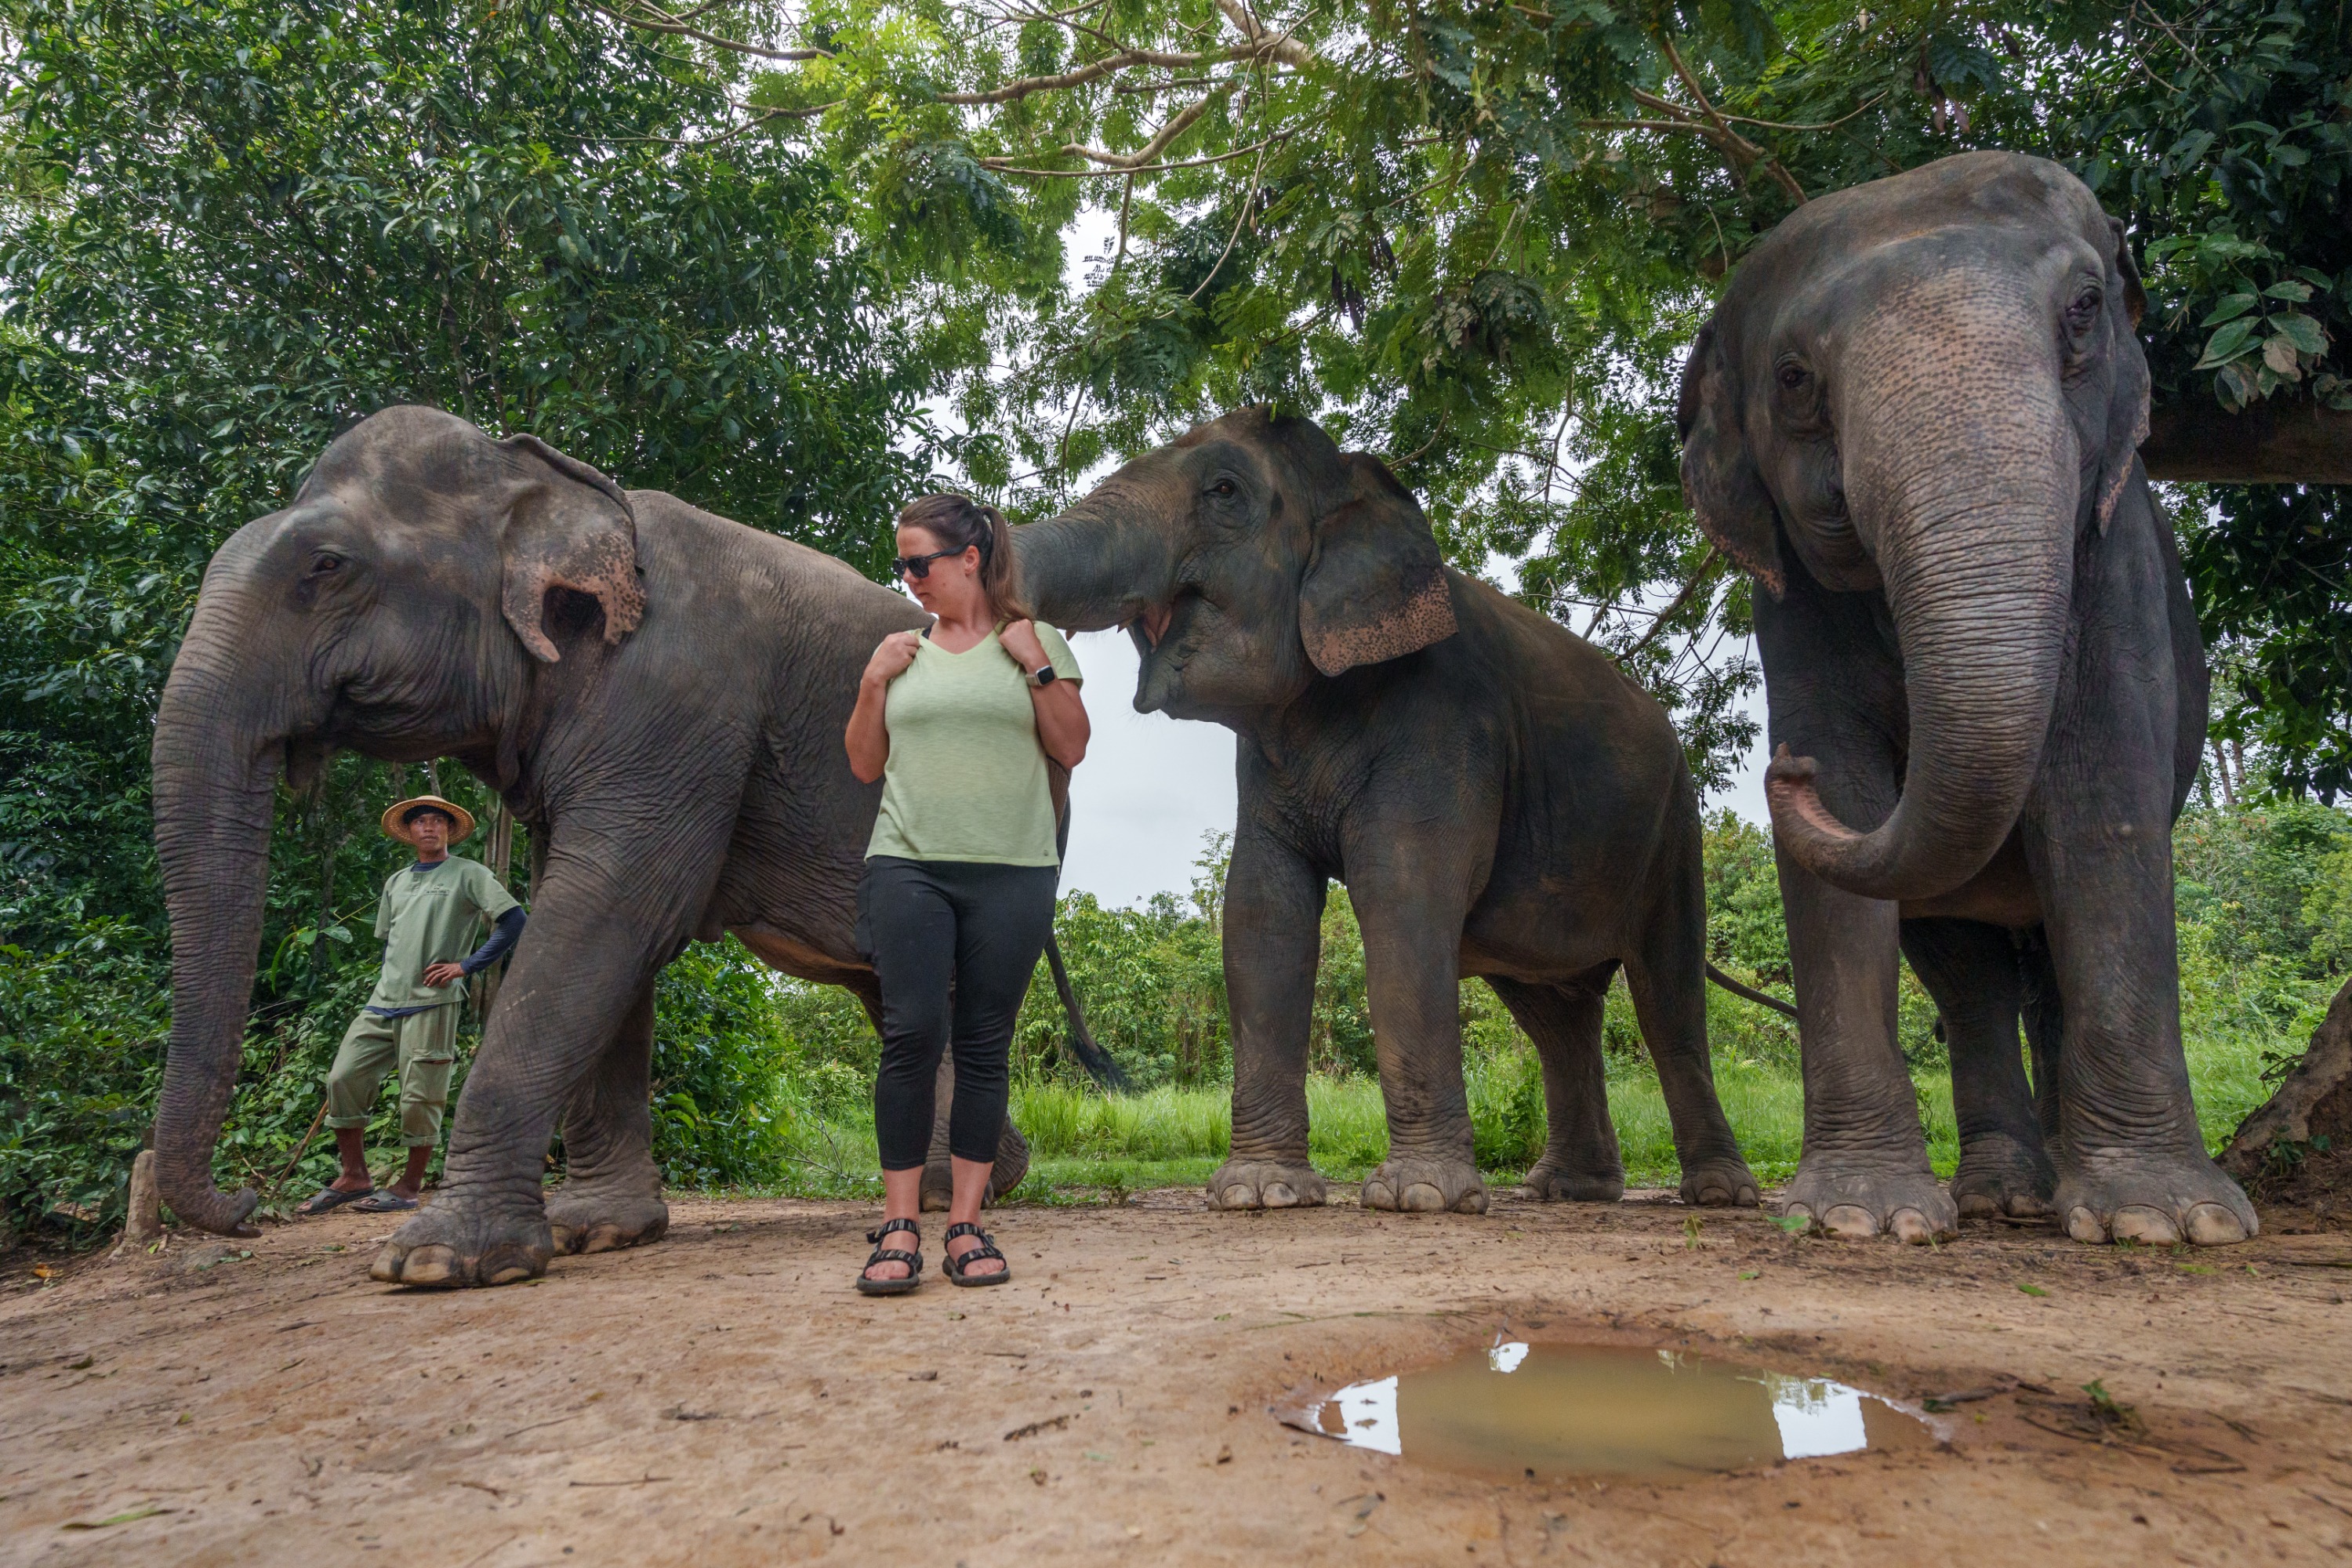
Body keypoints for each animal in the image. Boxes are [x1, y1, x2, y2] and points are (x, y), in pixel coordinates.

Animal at [151, 404, 1087, 1288]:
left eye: (327, 567)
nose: (249, 1208)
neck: (544, 482)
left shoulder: (678, 695)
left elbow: (613, 906)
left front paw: (434, 1261)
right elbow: (598, 924)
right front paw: (594, 1230)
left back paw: (957, 1189)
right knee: (894, 988)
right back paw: (958, 1185)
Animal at [1011, 411, 1769, 1222]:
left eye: (1225, 491)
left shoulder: (1446, 720)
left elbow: (1401, 898)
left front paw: (1420, 1197)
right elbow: (1262, 913)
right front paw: (1259, 1193)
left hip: (1674, 827)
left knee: (1667, 999)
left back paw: (1718, 1194)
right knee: (1557, 1018)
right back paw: (1571, 1189)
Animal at [1675, 150, 2258, 1250]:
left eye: (2085, 311)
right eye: (1795, 379)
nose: (1782, 767)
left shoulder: (2115, 555)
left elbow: (2105, 810)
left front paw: (2168, 1220)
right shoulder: (1791, 605)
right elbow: (1858, 810)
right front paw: (1859, 1217)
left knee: (2047, 966)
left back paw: (2067, 1191)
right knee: (1968, 965)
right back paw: (2003, 1195)